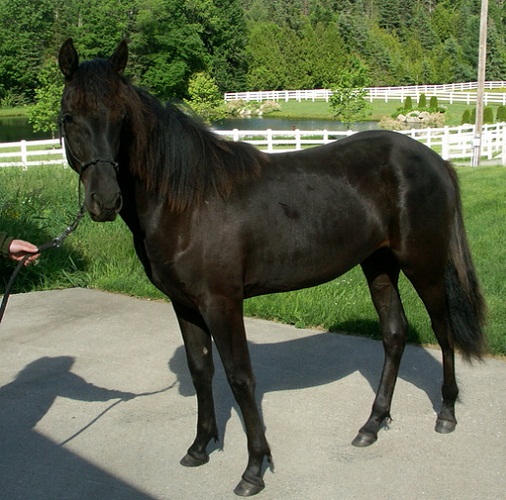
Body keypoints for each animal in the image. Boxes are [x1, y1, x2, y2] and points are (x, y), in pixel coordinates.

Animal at [58, 40, 486, 496]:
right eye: (69, 116)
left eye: (121, 119)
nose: (105, 201)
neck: (188, 202)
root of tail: (432, 159)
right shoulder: (184, 305)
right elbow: (201, 370)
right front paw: (199, 447)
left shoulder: (222, 303)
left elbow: (240, 377)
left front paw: (253, 469)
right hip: (379, 265)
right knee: (394, 334)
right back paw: (371, 425)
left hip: (424, 264)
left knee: (443, 330)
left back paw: (446, 413)